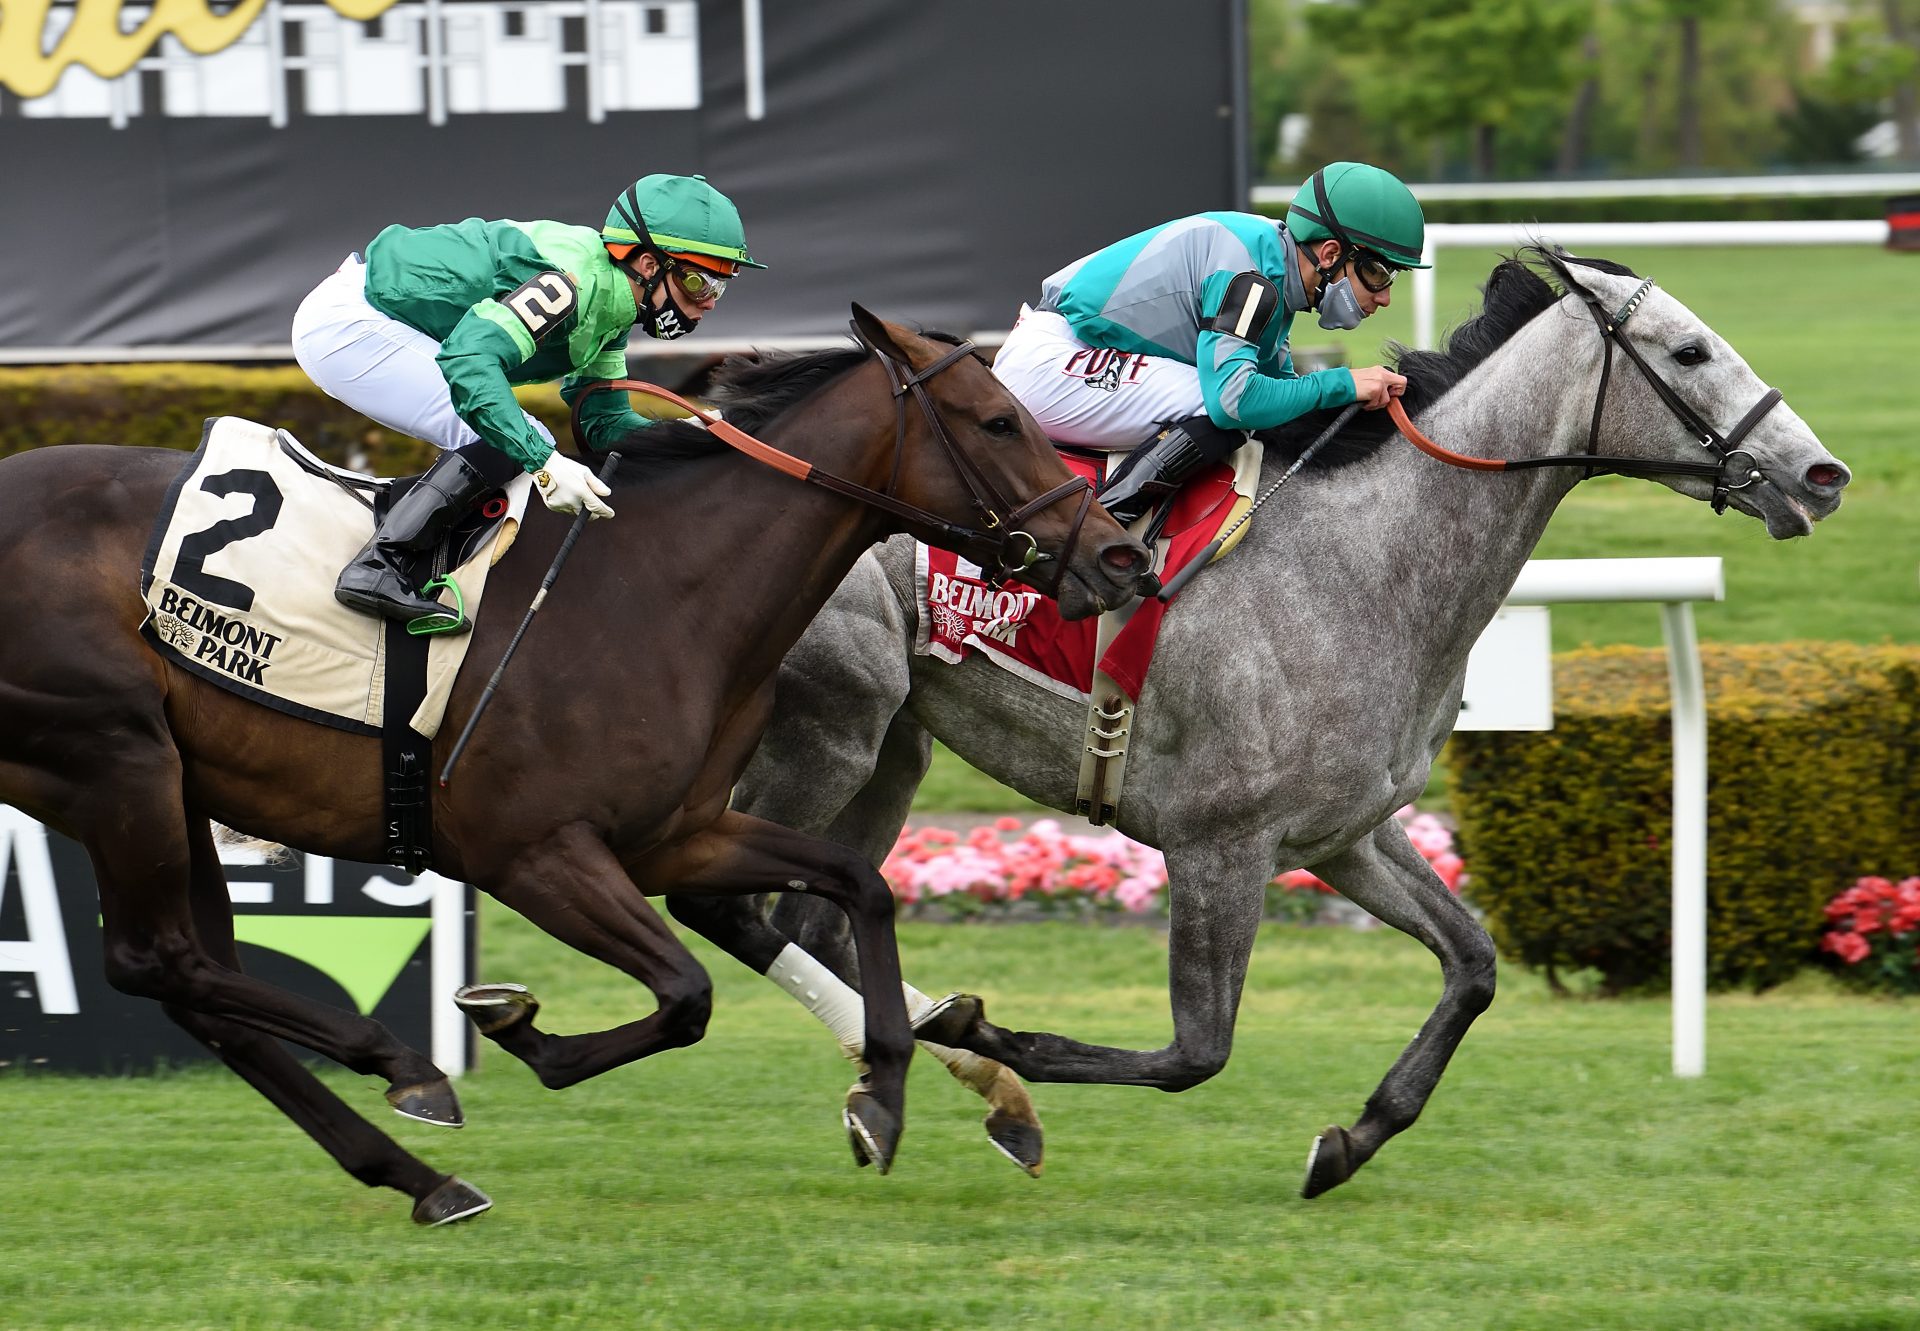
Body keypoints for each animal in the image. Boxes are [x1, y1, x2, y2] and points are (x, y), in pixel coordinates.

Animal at [0, 305, 1144, 1221]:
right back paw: (404, 1065)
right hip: (117, 757)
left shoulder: (679, 835)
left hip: (172, 782)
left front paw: (885, 1095)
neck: (661, 586)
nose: (1120, 554)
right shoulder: (533, 853)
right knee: (157, 958)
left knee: (202, 986)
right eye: (999, 420)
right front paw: (514, 1025)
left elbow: (858, 884)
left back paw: (420, 1175)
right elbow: (687, 993)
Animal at [660, 249, 1843, 1190]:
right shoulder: (1217, 844)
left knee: (810, 919)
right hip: (830, 731)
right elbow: (1198, 1050)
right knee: (735, 904)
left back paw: (910, 1086)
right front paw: (989, 1027)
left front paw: (1353, 1138)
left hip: (893, 745)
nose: (1822, 475)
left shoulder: (1343, 832)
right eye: (1689, 351)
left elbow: (1473, 962)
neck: (1364, 564)